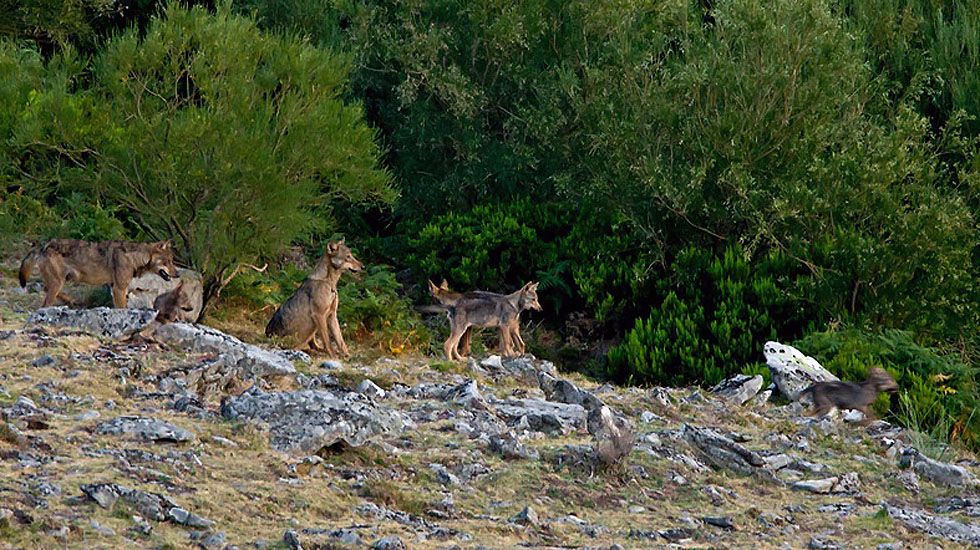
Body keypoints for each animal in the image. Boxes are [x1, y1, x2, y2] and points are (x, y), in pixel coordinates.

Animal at [19, 238, 179, 308]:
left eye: (172, 261)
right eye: (168, 262)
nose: (178, 274)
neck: (134, 257)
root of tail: (42, 246)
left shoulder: (115, 287)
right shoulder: (119, 289)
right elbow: (123, 308)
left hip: (60, 281)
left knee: (46, 289)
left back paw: (71, 300)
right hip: (58, 282)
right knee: (45, 301)